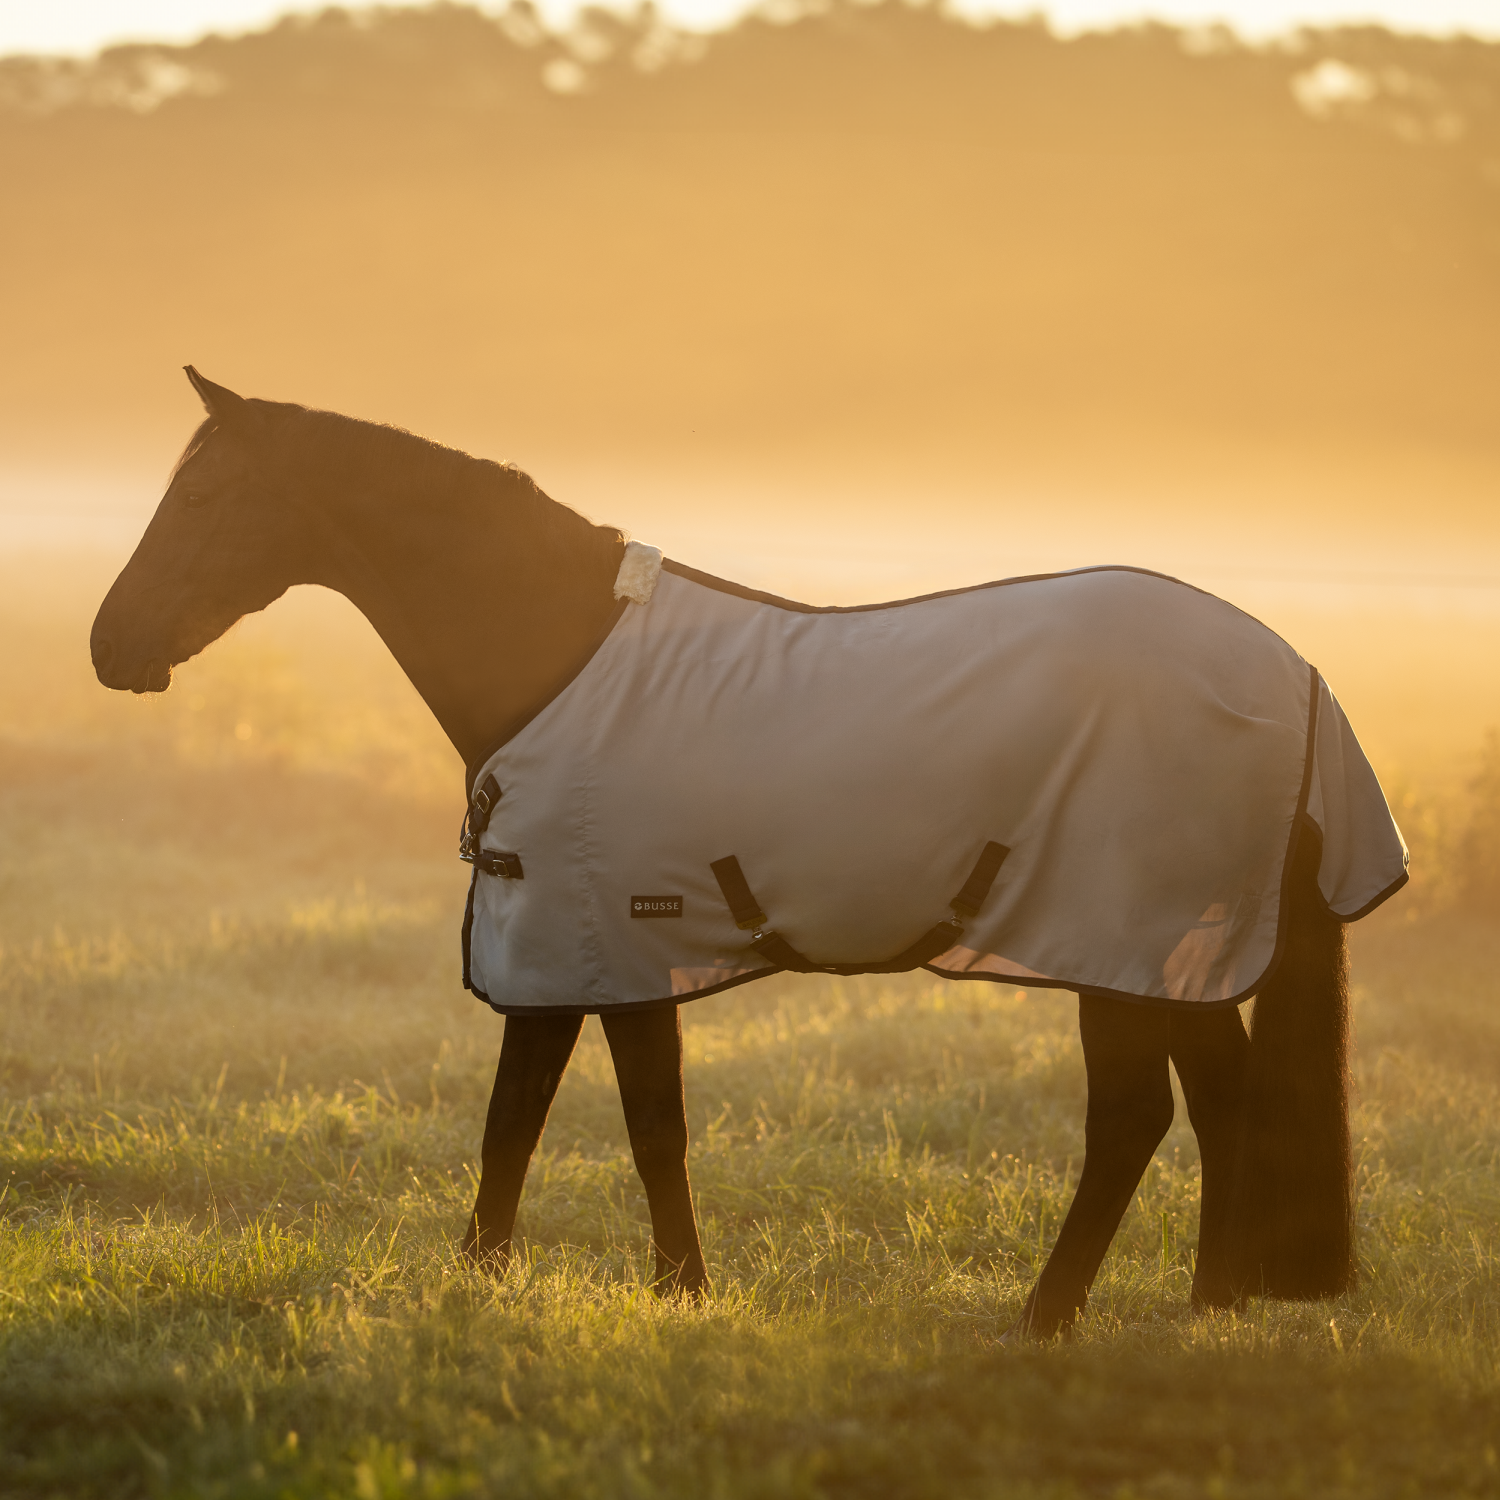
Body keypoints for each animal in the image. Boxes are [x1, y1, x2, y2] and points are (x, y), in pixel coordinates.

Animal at [90, 372, 1380, 1338]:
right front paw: (539, 1286)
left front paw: (624, 1291)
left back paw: (1045, 1318)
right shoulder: (580, 948)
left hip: (1109, 942)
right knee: (1222, 1096)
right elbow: (551, 1117)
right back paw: (1210, 1306)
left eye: (203, 491)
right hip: (1175, 952)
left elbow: (609, 1120)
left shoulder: (597, 942)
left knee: (1131, 1119)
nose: (110, 646)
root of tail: (1293, 669)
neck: (559, 654)